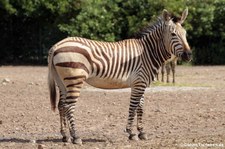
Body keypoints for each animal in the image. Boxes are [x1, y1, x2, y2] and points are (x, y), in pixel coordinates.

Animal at [47, 8, 192, 144]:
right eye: (173, 34)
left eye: (185, 34)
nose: (189, 55)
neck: (147, 53)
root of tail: (56, 46)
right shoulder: (139, 83)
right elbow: (133, 106)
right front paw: (131, 133)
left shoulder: (141, 83)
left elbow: (140, 107)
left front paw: (141, 132)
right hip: (74, 79)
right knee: (69, 106)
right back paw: (76, 136)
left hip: (62, 81)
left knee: (61, 105)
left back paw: (65, 136)